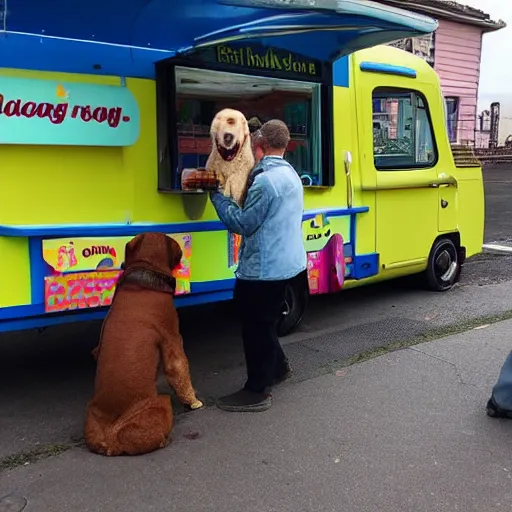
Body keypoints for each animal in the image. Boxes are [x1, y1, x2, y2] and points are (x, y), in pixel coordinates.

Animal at [84, 232, 202, 456]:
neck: (146, 266)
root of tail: (110, 440)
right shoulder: (172, 339)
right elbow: (181, 373)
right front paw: (193, 401)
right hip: (162, 401)